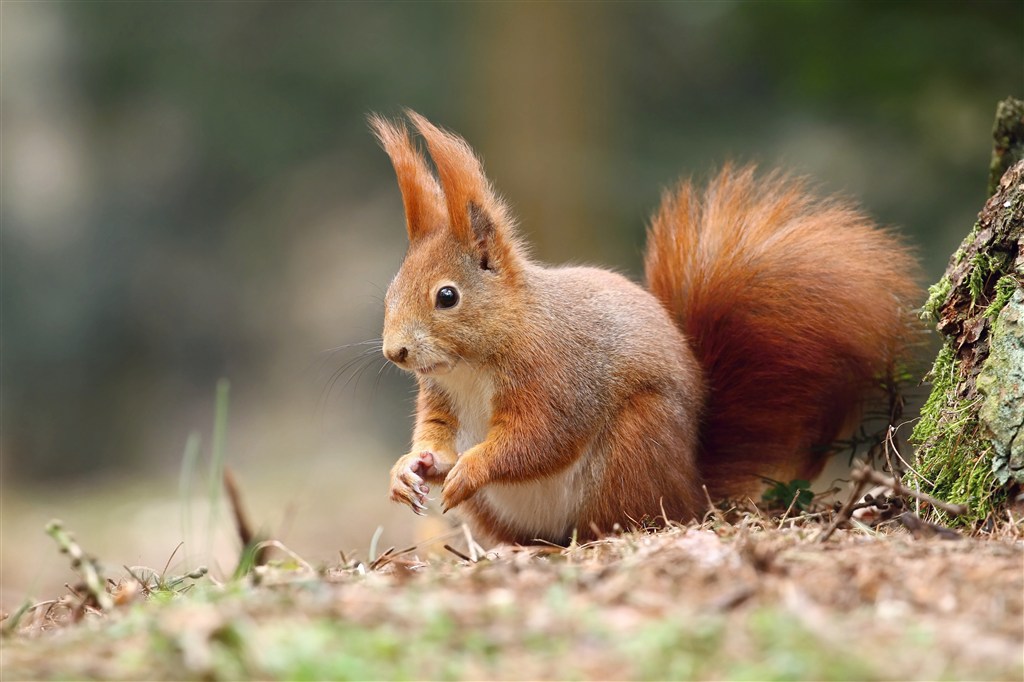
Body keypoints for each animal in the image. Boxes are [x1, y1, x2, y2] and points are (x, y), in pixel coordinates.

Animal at [370, 112, 921, 548]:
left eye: (447, 296)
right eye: (391, 288)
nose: (395, 352)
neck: (474, 362)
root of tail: (691, 483)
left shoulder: (555, 376)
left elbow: (537, 439)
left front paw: (469, 469)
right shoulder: (441, 395)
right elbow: (435, 433)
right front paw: (408, 469)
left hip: (635, 444)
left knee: (625, 516)